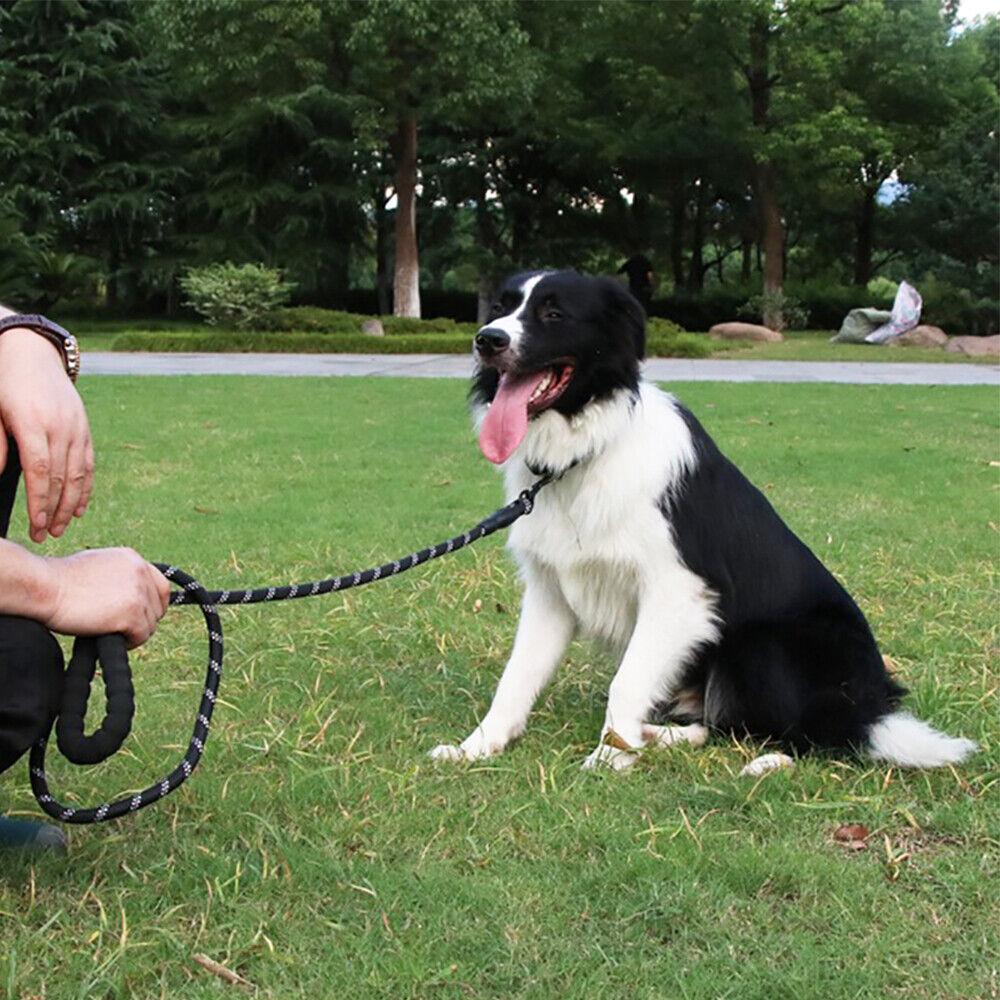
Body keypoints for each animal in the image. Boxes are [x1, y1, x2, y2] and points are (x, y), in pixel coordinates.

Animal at [432, 268, 976, 772]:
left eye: (553, 312)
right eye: (500, 307)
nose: (487, 339)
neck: (585, 453)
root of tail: (871, 705)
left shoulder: (680, 590)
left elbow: (626, 681)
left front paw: (609, 759)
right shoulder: (551, 591)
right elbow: (517, 675)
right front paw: (478, 746)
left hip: (765, 645)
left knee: (813, 734)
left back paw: (764, 761)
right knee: (718, 723)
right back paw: (658, 736)